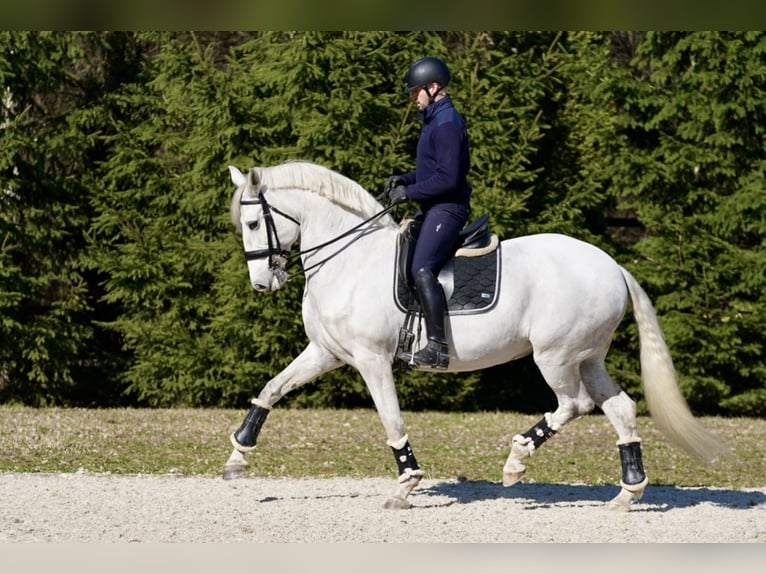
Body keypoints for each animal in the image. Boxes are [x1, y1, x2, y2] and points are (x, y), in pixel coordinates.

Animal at [224, 159, 732, 512]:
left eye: (253, 223)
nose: (262, 284)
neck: (349, 259)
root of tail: (613, 266)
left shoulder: (371, 360)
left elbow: (392, 421)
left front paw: (406, 485)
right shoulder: (325, 352)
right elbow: (271, 389)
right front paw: (237, 457)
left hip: (555, 356)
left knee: (575, 404)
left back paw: (517, 460)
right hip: (589, 357)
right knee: (620, 408)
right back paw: (627, 494)